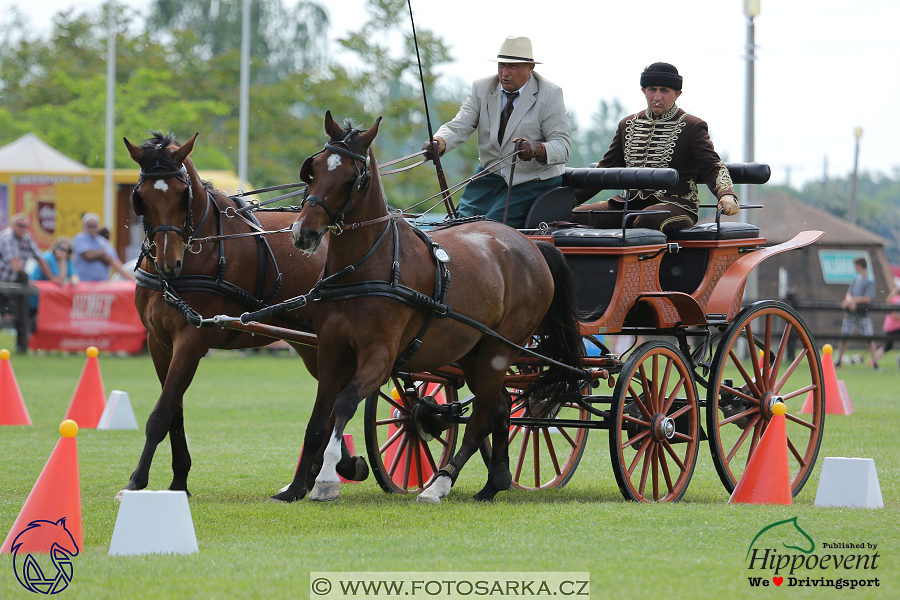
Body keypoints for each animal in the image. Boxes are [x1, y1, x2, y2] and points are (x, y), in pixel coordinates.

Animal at [119, 134, 370, 500]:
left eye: (182, 195)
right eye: (142, 198)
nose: (168, 262)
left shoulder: (192, 339)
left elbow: (161, 412)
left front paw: (136, 481)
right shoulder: (159, 342)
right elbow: (174, 411)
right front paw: (179, 480)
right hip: (316, 346)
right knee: (330, 398)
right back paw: (326, 471)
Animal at [278, 110, 580, 504]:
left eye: (349, 178)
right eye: (312, 169)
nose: (303, 233)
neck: (365, 266)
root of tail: (533, 244)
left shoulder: (380, 357)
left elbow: (344, 404)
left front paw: (328, 477)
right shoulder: (331, 352)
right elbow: (318, 420)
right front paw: (297, 486)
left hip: (500, 349)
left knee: (481, 418)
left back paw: (440, 483)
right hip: (472, 352)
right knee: (499, 407)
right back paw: (494, 482)